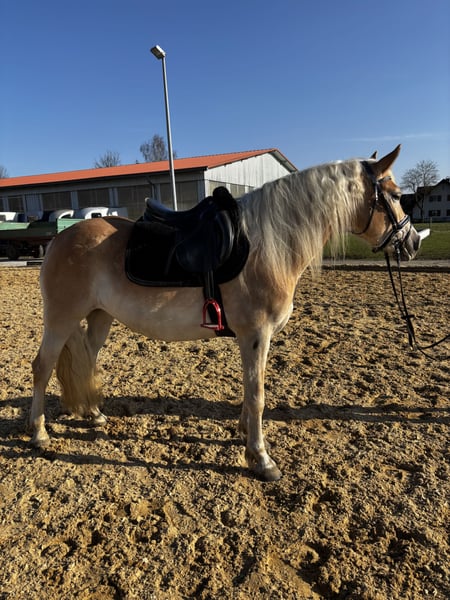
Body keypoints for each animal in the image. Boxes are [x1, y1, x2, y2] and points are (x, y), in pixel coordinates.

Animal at [30, 145, 422, 481]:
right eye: (396, 195)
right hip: (61, 319)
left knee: (87, 359)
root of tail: (59, 239)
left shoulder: (255, 339)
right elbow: (258, 395)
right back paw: (39, 433)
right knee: (43, 367)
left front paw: (245, 436)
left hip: (100, 316)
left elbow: (251, 391)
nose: (414, 242)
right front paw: (261, 459)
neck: (271, 245)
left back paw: (93, 414)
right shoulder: (256, 335)